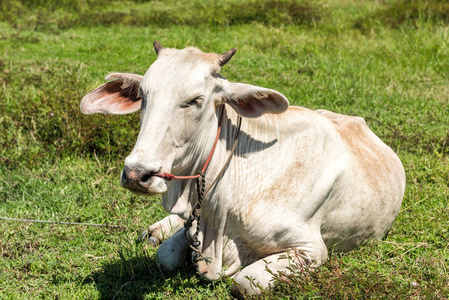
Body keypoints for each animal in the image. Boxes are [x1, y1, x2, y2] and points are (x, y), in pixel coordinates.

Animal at [80, 41, 406, 296]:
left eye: (195, 100)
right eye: (144, 96)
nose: (138, 174)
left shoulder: (312, 249)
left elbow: (244, 283)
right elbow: (165, 255)